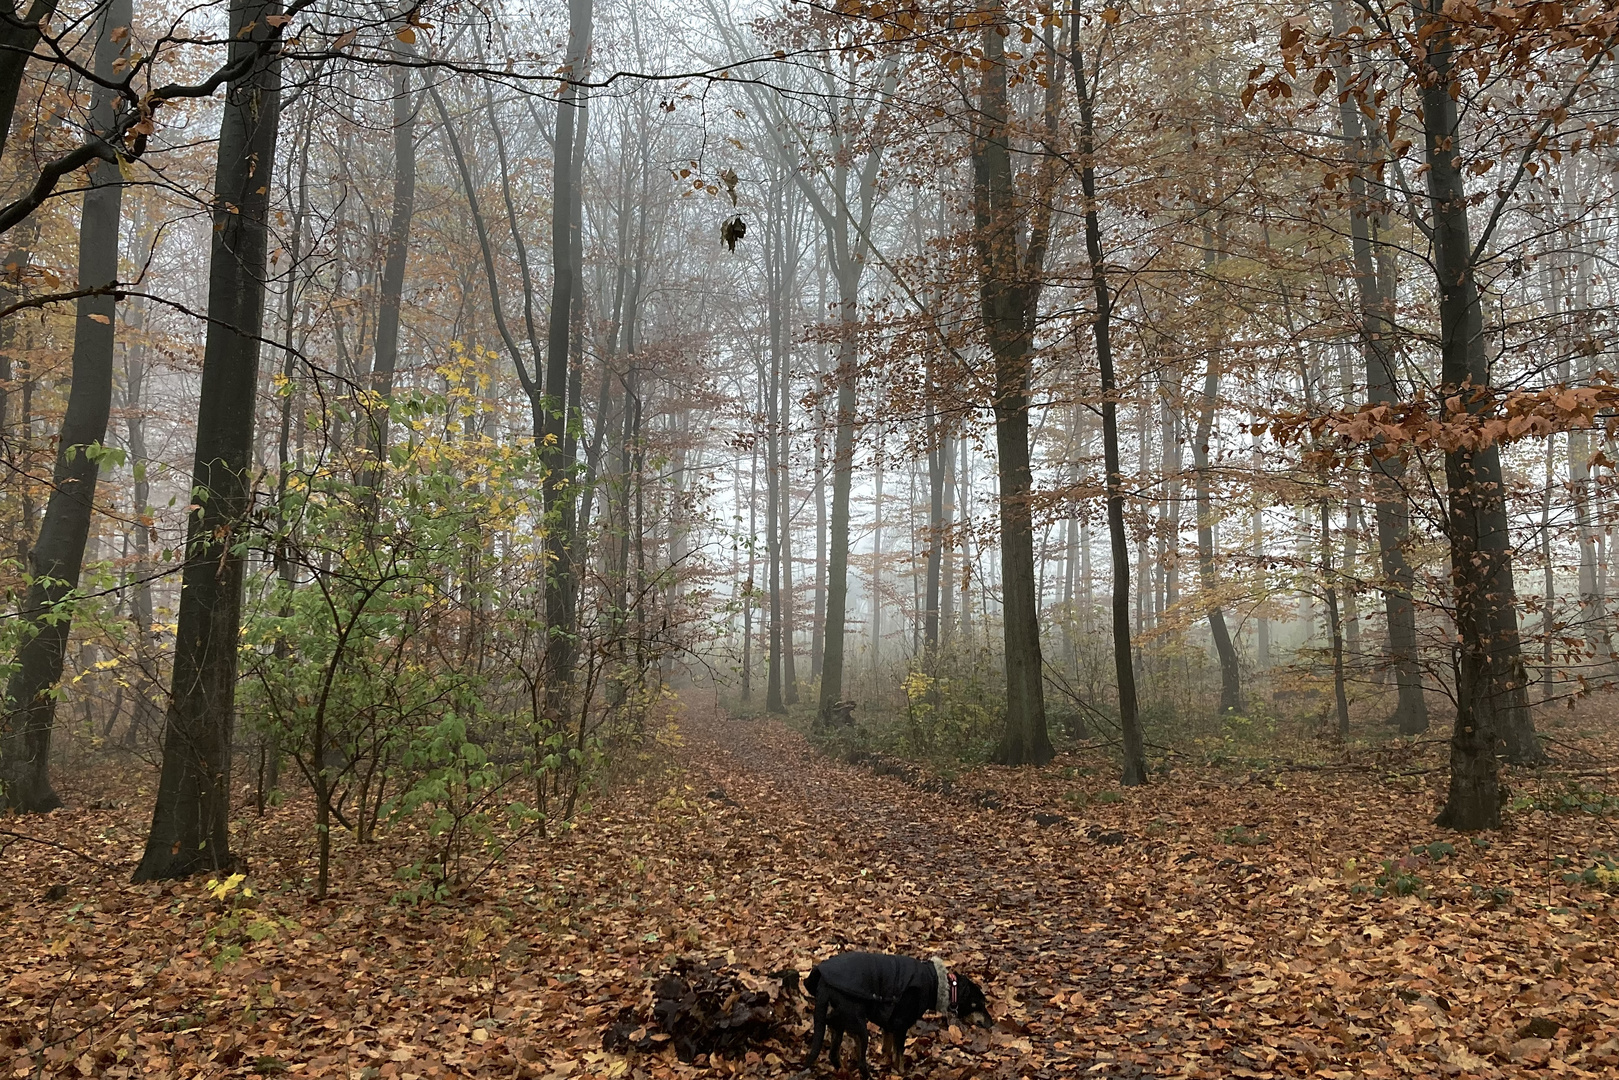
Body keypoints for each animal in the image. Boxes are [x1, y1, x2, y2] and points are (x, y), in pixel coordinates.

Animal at [799, 952, 984, 1075]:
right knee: (860, 1063)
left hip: (841, 1023)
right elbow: (899, 1055)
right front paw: (902, 1072)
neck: (937, 982)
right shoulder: (900, 1026)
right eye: (978, 1004)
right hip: (860, 1027)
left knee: (833, 1052)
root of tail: (824, 985)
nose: (988, 1023)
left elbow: (888, 1050)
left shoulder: (888, 1024)